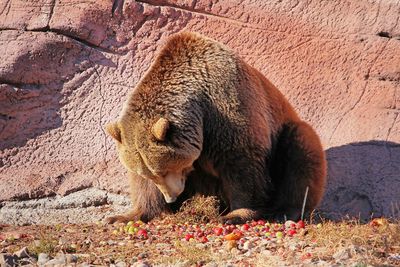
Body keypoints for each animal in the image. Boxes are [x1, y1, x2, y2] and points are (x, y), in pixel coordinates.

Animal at [104, 31, 326, 226]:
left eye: (165, 170)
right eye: (150, 173)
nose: (171, 198)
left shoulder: (227, 108)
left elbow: (242, 164)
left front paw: (237, 214)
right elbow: (144, 188)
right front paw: (124, 216)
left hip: (285, 131)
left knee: (300, 150)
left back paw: (284, 211)